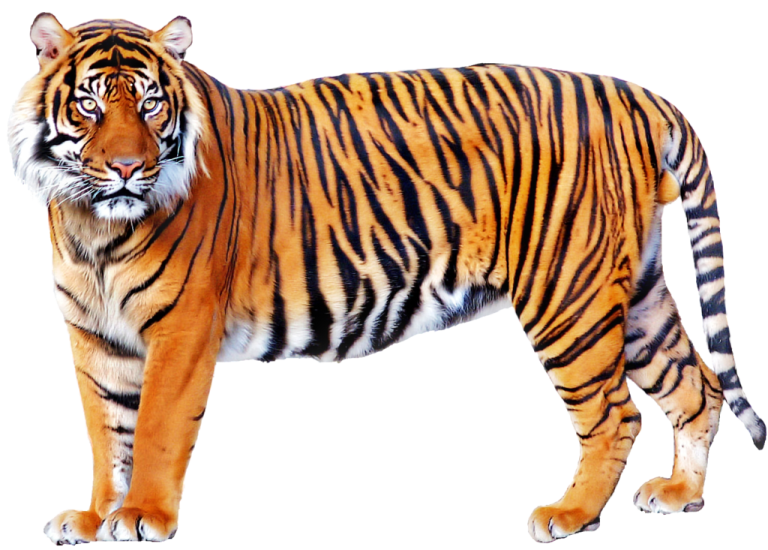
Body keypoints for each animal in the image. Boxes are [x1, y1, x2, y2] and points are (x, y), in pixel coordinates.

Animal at [8, 12, 766, 545]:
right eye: (90, 106)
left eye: (151, 105)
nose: (128, 169)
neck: (93, 228)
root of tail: (639, 95)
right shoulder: (95, 336)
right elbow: (107, 432)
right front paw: (96, 516)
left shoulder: (182, 328)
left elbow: (156, 428)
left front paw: (142, 516)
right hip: (634, 294)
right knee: (694, 387)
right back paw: (680, 495)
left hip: (568, 296)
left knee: (615, 414)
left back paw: (570, 514)